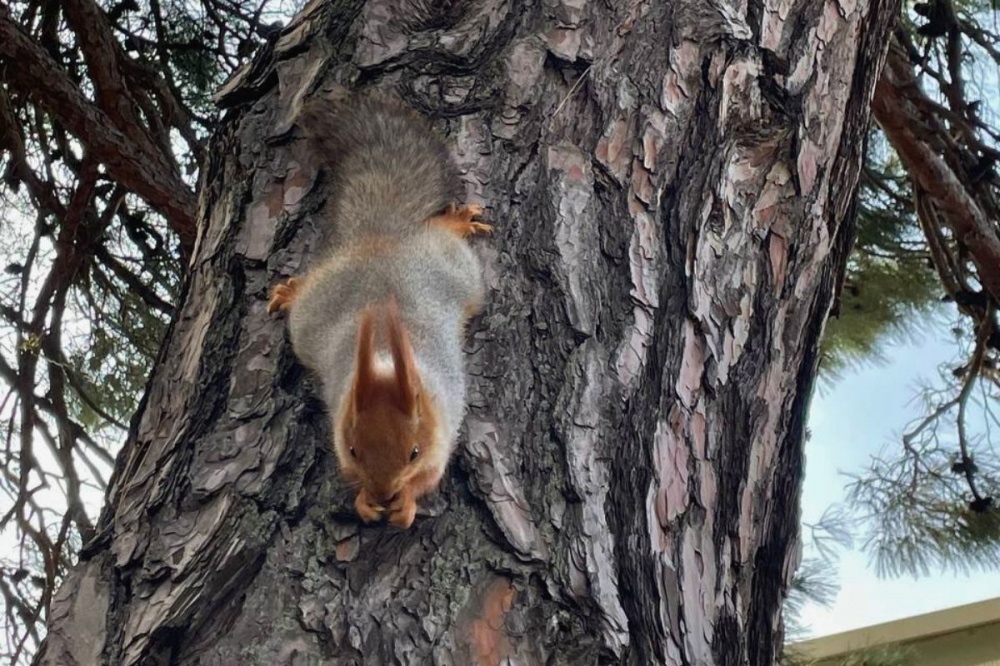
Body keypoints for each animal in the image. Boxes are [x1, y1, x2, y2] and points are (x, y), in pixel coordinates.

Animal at [268, 91, 490, 528]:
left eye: (413, 452)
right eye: (354, 450)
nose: (384, 492)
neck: (385, 358)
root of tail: (381, 240)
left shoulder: (443, 424)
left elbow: (430, 477)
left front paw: (405, 503)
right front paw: (364, 502)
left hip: (461, 272)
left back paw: (456, 223)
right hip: (308, 320)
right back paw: (290, 292)